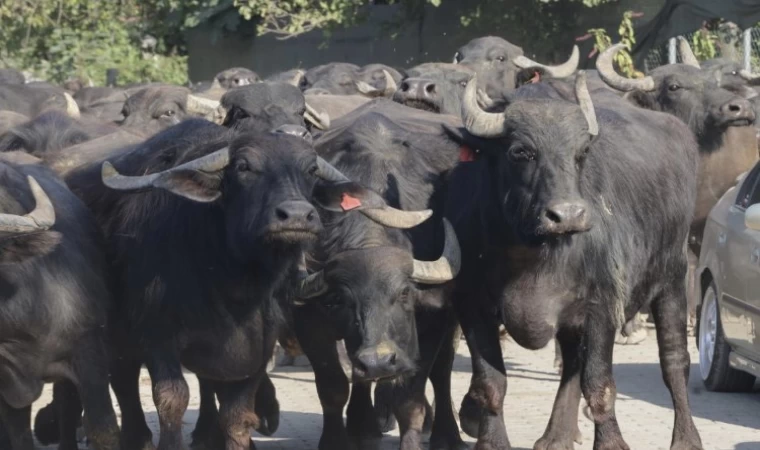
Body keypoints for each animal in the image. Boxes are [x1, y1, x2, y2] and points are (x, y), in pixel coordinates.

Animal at [294, 101, 466, 450]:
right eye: (340, 299)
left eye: (404, 293)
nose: (377, 361)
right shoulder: (307, 317)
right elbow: (332, 386)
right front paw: (335, 440)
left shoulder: (433, 315)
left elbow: (410, 394)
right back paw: (363, 426)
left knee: (442, 372)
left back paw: (447, 434)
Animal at [446, 74, 700, 450]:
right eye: (520, 151)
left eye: (580, 153)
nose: (568, 215)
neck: (534, 255)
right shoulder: (473, 306)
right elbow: (491, 384)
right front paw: (492, 441)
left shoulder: (601, 306)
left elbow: (599, 385)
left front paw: (611, 443)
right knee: (571, 366)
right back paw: (557, 435)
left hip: (672, 277)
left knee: (674, 361)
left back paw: (686, 439)